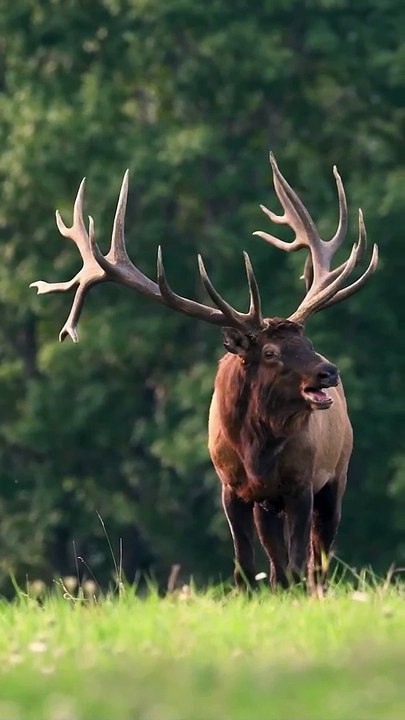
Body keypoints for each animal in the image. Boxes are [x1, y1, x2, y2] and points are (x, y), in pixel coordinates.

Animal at [30, 153, 378, 589]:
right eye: (270, 352)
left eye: (308, 343)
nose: (329, 372)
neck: (257, 451)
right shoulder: (232, 487)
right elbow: (247, 565)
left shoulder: (302, 482)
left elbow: (300, 564)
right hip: (269, 505)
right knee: (279, 562)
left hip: (337, 475)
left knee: (318, 560)